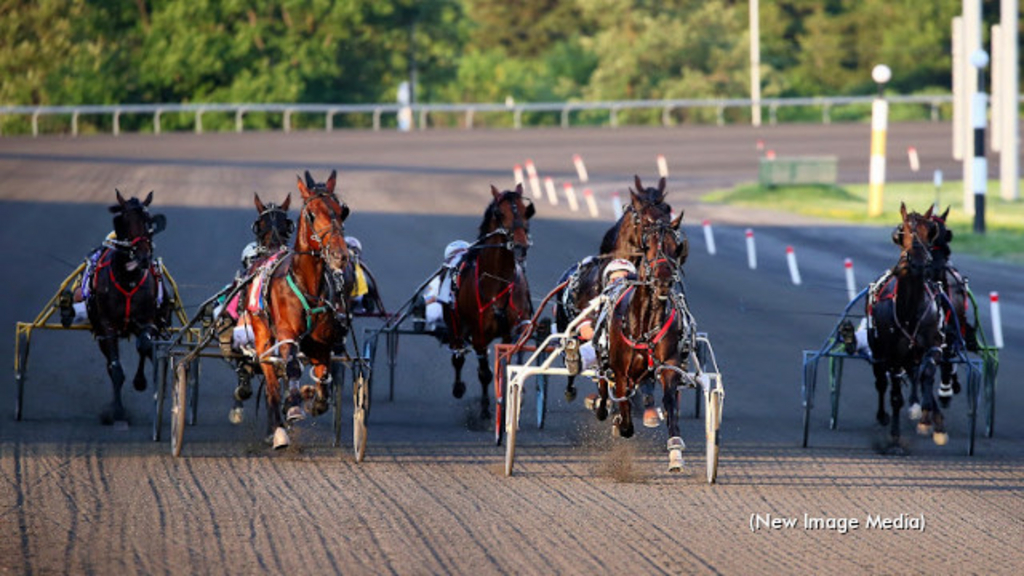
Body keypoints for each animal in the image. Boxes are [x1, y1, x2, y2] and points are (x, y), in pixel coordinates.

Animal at [87, 188, 166, 422]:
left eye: (149, 221)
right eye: (124, 221)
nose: (143, 257)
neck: (127, 278)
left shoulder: (147, 320)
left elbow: (145, 346)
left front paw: (141, 381)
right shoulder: (107, 326)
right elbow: (116, 369)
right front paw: (117, 411)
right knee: (109, 361)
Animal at [247, 168, 352, 446]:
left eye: (341, 211)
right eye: (312, 214)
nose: (340, 255)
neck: (307, 284)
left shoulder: (321, 342)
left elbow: (323, 375)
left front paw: (313, 399)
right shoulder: (286, 334)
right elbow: (291, 367)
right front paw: (292, 408)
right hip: (262, 335)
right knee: (271, 380)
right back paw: (277, 429)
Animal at [444, 186, 536, 420]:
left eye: (526, 211)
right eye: (499, 213)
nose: (520, 246)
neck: (496, 281)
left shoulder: (511, 332)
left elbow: (508, 364)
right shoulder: (479, 335)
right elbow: (485, 373)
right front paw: (486, 408)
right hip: (455, 325)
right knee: (458, 355)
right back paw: (458, 387)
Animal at [868, 201, 946, 448]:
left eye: (930, 230)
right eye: (902, 230)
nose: (918, 262)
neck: (910, 310)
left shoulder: (934, 344)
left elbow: (927, 375)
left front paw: (930, 421)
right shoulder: (892, 355)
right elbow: (894, 396)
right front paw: (894, 434)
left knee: (918, 376)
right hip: (878, 350)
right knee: (881, 382)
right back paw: (883, 416)